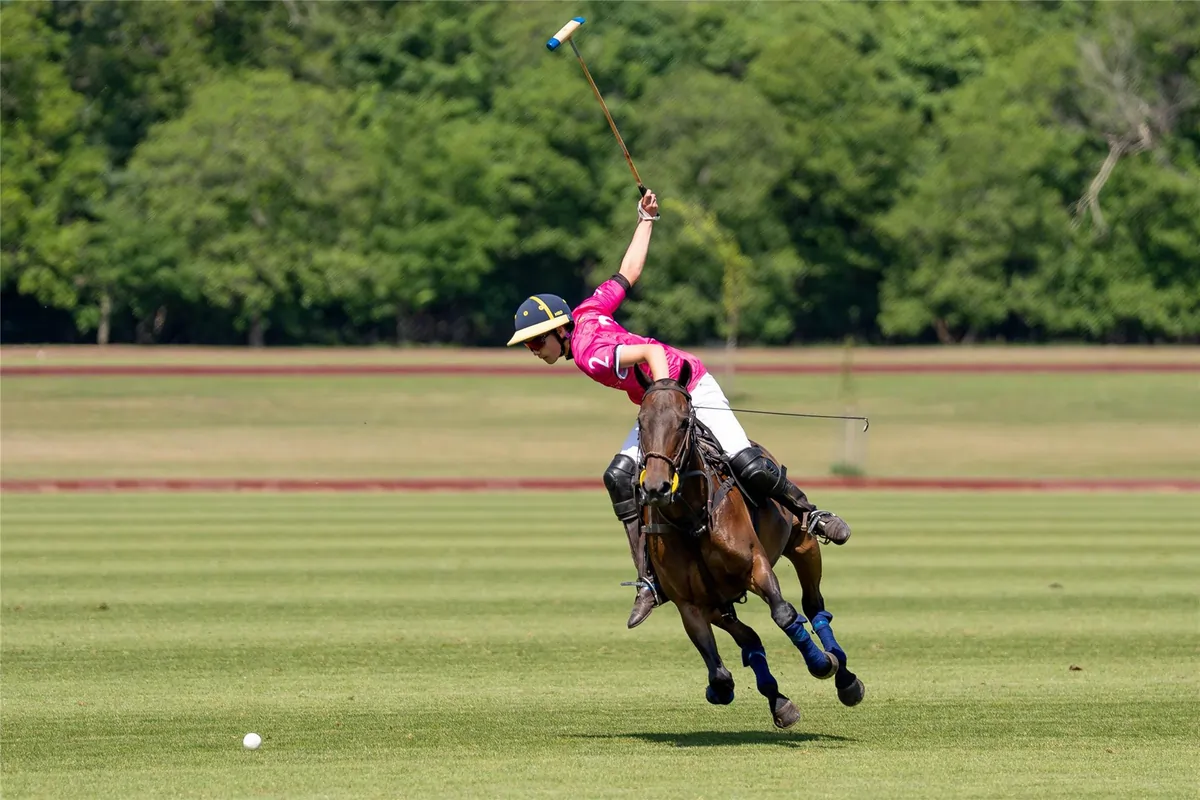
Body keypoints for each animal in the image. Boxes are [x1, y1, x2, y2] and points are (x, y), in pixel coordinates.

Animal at [634, 362, 865, 728]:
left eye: (684, 421)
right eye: (641, 422)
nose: (656, 487)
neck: (692, 520)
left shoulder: (756, 566)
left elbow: (784, 614)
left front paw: (821, 663)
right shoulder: (691, 605)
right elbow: (719, 671)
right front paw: (732, 692)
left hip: (803, 544)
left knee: (814, 606)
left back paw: (843, 674)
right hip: (720, 603)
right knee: (750, 638)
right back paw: (777, 697)